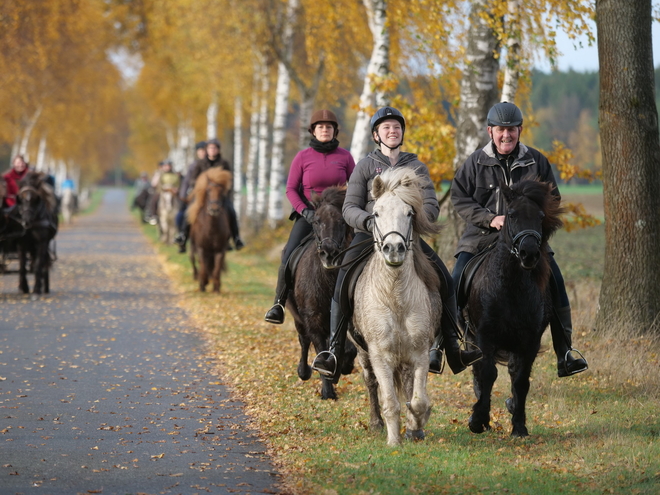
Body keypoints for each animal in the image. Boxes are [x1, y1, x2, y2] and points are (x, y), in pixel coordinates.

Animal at [284, 188, 356, 402]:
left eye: (342, 221)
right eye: (316, 221)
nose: (329, 253)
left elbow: (347, 348)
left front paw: (343, 367)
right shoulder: (313, 319)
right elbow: (321, 352)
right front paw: (327, 391)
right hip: (298, 317)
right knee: (303, 339)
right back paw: (303, 372)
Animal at [350, 168, 444, 446]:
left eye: (409, 213)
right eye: (376, 213)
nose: (394, 249)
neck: (396, 297)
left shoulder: (420, 353)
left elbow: (418, 400)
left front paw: (416, 425)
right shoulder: (380, 355)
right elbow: (390, 402)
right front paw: (393, 441)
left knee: (409, 384)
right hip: (363, 352)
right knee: (371, 383)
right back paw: (376, 423)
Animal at [462, 179, 564, 438]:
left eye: (540, 216)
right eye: (512, 214)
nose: (529, 254)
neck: (511, 288)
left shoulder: (530, 341)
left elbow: (520, 380)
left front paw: (519, 426)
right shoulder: (484, 336)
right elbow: (487, 373)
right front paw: (478, 420)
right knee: (478, 371)